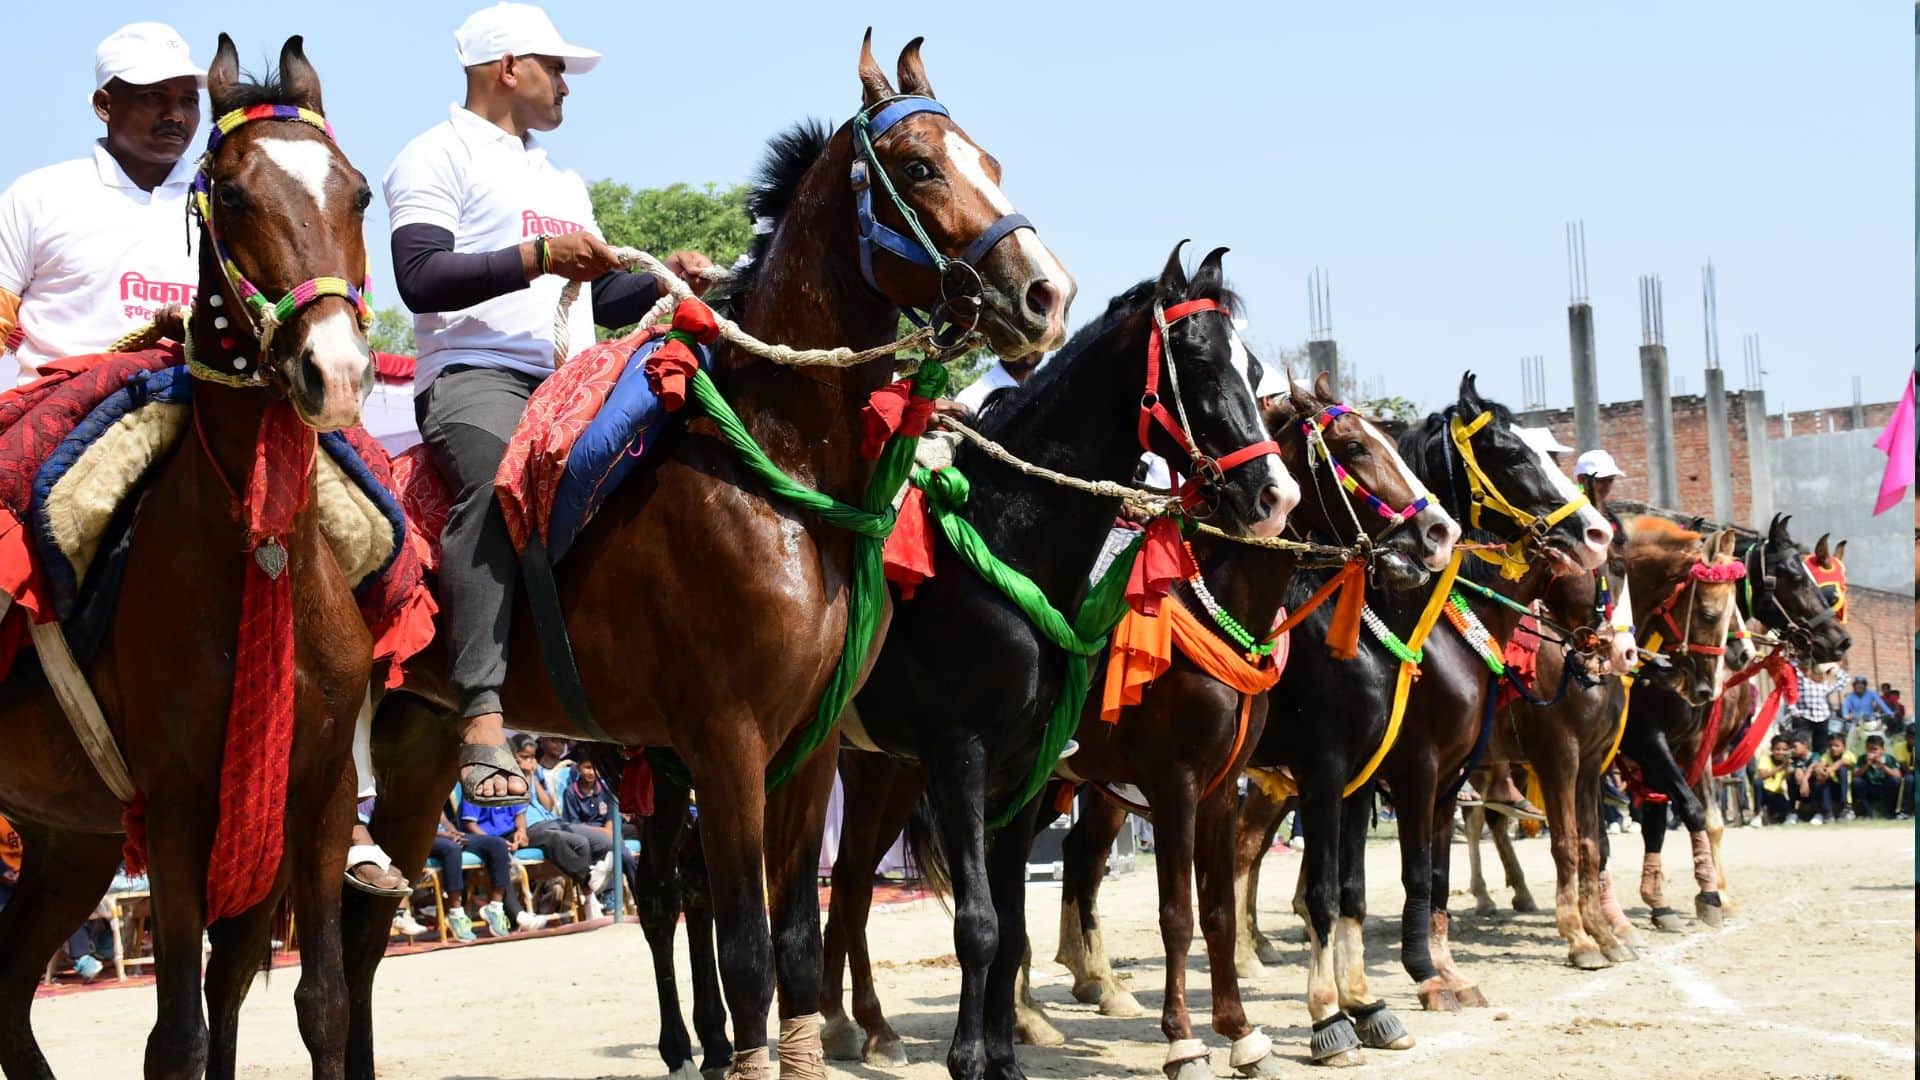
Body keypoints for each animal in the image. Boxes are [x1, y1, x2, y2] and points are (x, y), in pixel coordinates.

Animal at [0, 36, 379, 1080]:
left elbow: (317, 1003)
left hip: (66, 845)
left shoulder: (310, 805)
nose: (336, 371)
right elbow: (178, 1034)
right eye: (236, 196)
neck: (259, 558)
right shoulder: (175, 813)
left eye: (360, 193)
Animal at [343, 34, 1074, 1080]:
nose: (1044, 295)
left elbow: (798, 940)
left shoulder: (812, 748)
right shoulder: (730, 741)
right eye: (921, 166)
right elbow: (747, 949)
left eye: (993, 163)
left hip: (421, 742)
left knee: (363, 928)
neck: (779, 476)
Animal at [826, 243, 1295, 1080]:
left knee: (845, 883)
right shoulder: (967, 758)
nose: (1274, 495)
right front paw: (970, 1057)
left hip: (883, 766)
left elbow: (1012, 922)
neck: (1002, 545)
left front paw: (1003, 1056)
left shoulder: (1030, 767)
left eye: (1252, 367)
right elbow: (982, 922)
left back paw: (866, 1029)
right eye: (1200, 364)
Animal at [1041, 377, 1458, 1079]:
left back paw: (1074, 996)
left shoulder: (1336, 783)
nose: (1438, 531)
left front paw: (1358, 1007)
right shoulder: (1279, 778)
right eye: (1352, 447)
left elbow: (1333, 894)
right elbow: (1285, 897)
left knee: (1076, 858)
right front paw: (1325, 1019)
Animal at [1229, 373, 1614, 1052]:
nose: (1596, 533)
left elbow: (1399, 881)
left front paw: (1403, 990)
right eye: (1510, 453)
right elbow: (1374, 881)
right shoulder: (1393, 770)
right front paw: (1379, 996)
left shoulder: (1426, 779)